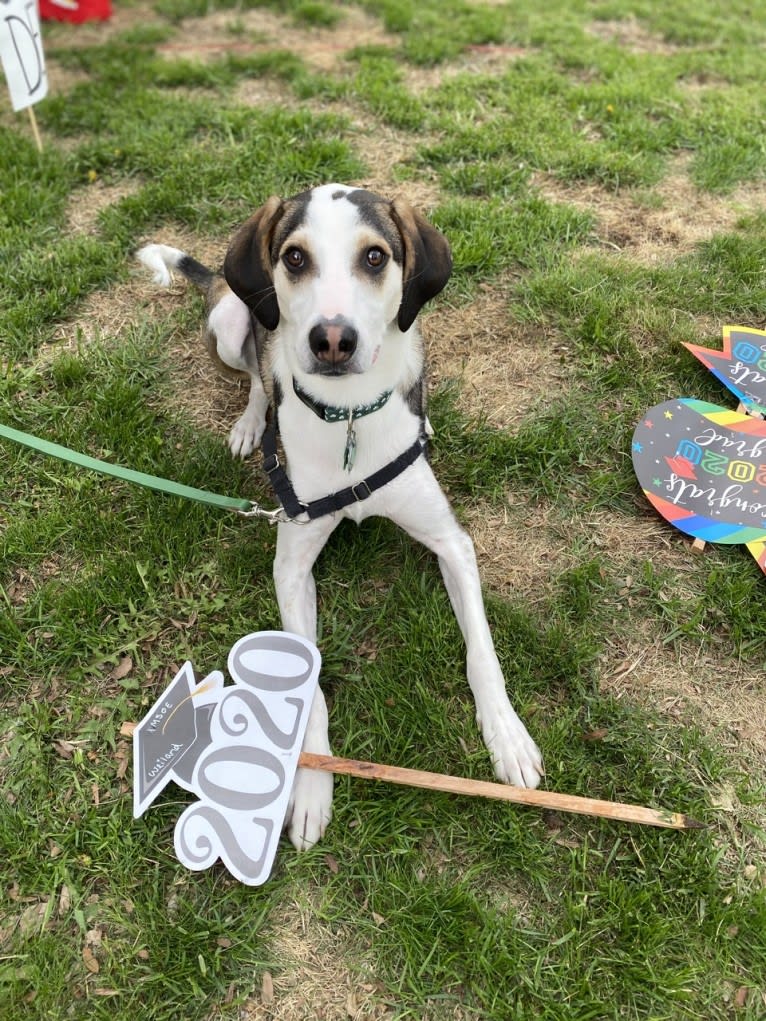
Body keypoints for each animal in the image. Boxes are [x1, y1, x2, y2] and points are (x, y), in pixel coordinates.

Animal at [137, 185, 547, 853]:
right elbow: (308, 683)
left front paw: (507, 737)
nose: (333, 339)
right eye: (295, 257)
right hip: (229, 325)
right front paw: (310, 789)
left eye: (375, 256)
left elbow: (482, 653)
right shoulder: (291, 565)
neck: (350, 417)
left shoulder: (452, 543)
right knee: (258, 374)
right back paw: (252, 424)